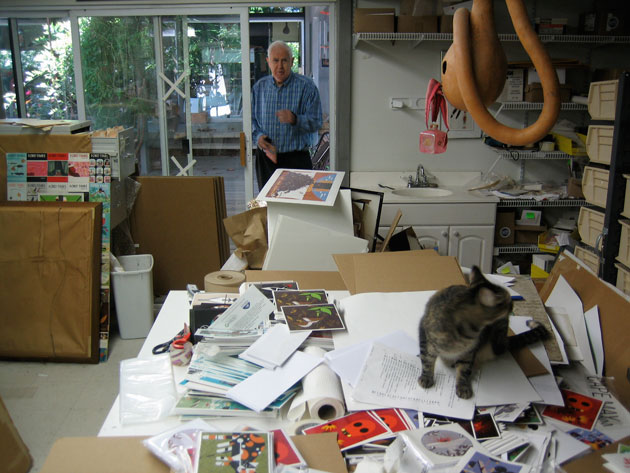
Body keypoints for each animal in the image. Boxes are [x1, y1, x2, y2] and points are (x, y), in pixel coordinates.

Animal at [418, 266, 548, 399]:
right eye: (507, 302)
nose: (513, 305)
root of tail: (504, 341)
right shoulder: (424, 336)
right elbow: (427, 361)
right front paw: (426, 378)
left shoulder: (469, 352)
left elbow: (464, 370)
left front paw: (463, 387)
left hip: (498, 333)